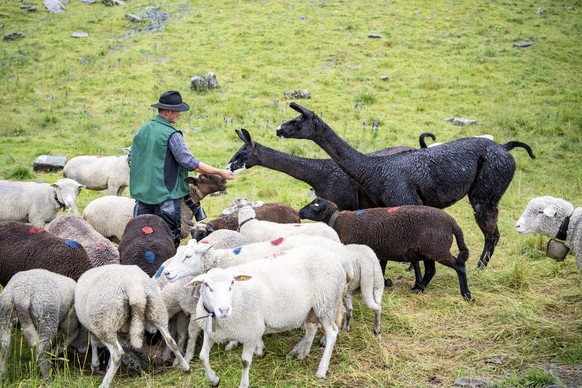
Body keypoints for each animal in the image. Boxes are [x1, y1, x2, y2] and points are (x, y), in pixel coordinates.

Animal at [189, 246, 350, 388]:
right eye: (206, 285)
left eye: (232, 283)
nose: (224, 310)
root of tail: (335, 259)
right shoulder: (210, 332)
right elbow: (203, 356)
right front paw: (214, 379)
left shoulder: (250, 333)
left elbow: (245, 362)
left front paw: (243, 384)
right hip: (311, 309)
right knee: (311, 329)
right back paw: (302, 354)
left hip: (326, 304)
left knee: (332, 333)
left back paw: (321, 369)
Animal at [302, 197, 474, 300]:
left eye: (313, 204)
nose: (300, 212)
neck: (338, 221)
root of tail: (453, 223)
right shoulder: (380, 251)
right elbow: (380, 269)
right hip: (428, 250)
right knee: (431, 270)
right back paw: (418, 289)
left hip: (437, 248)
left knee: (459, 265)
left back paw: (466, 294)